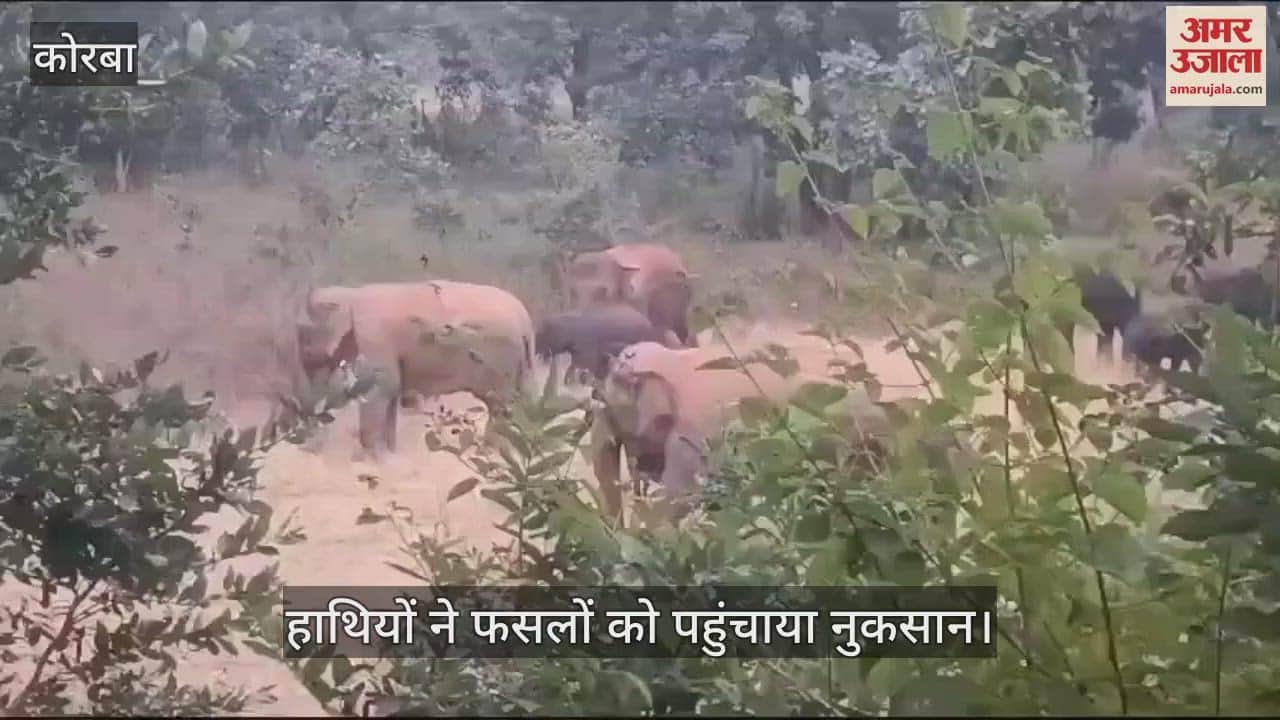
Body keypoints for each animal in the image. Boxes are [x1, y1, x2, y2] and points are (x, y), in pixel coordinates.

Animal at [295, 280, 535, 455]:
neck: (349, 294)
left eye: (304, 341)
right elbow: (390, 393)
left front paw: (367, 459)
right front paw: (388, 455)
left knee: (499, 406)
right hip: (521, 364)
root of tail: (525, 319)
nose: (309, 447)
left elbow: (380, 389)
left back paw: (488, 453)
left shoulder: (374, 337)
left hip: (499, 359)